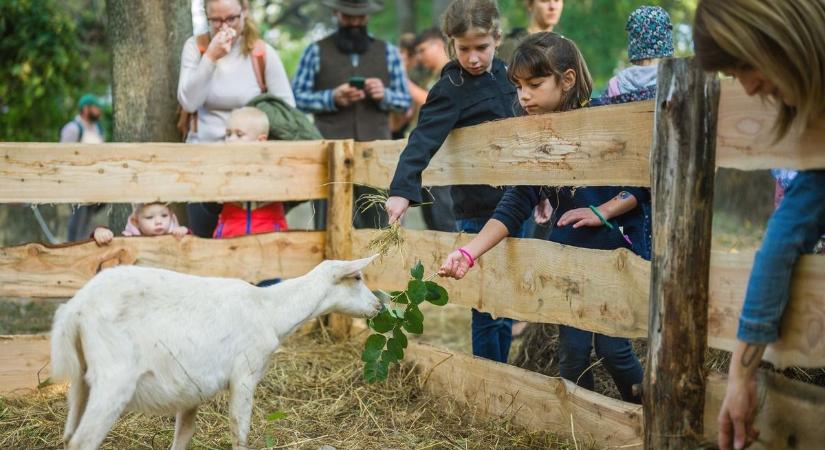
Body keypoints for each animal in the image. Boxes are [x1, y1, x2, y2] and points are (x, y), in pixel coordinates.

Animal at [53, 256, 382, 450]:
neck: (271, 309)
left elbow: (184, 434)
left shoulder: (191, 388)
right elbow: (239, 429)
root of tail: (76, 309)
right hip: (114, 376)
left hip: (82, 381)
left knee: (70, 437)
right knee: (82, 441)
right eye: (358, 278)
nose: (378, 306)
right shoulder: (245, 373)